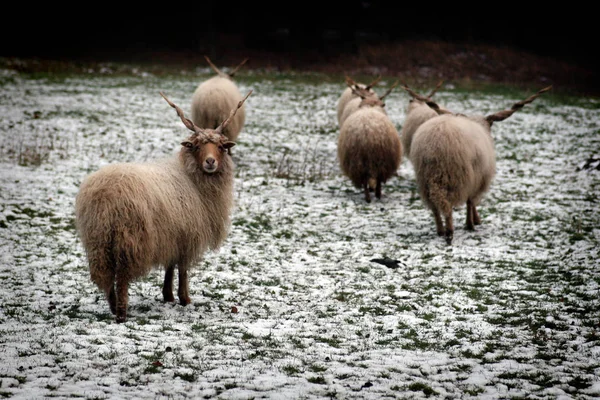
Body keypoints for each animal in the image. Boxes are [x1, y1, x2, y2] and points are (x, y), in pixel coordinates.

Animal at [75, 90, 253, 322]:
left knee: (105, 275)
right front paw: (184, 298)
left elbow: (170, 266)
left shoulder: (173, 234)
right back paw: (122, 313)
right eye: (197, 146)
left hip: (99, 240)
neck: (191, 177)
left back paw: (113, 306)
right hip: (129, 238)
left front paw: (167, 296)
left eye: (221, 147)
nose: (210, 162)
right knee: (121, 277)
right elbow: (183, 269)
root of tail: (104, 196)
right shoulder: (188, 234)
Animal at [410, 85, 552, 244]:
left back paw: (440, 230)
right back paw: (449, 232)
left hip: (426, 177)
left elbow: (470, 202)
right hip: (453, 176)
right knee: (446, 205)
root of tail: (434, 142)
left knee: (434, 206)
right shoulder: (477, 177)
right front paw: (471, 224)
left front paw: (474, 221)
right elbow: (470, 202)